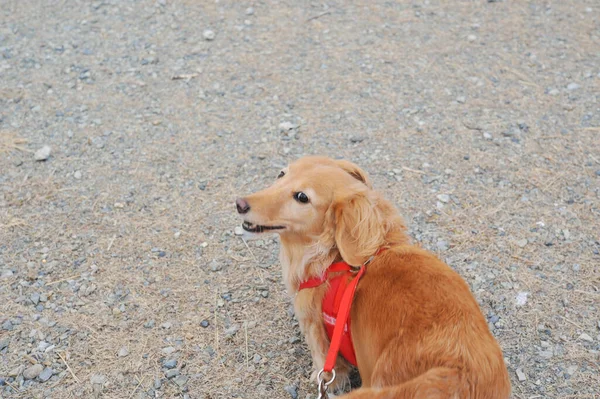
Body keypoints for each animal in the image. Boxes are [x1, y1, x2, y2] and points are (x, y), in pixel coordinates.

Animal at [234, 157, 510, 399]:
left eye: (302, 197)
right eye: (281, 174)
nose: (239, 203)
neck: (335, 259)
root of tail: (456, 378)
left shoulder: (314, 326)